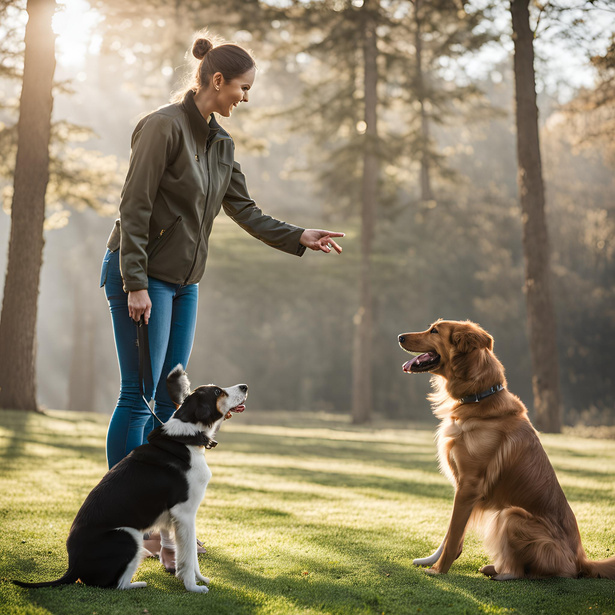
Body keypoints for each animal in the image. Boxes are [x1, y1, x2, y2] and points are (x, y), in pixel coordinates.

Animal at [13, 368, 248, 596]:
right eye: (217, 392)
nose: (245, 386)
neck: (187, 438)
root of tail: (73, 567)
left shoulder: (181, 519)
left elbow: (188, 556)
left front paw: (198, 578)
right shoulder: (185, 513)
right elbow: (189, 556)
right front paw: (193, 587)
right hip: (129, 536)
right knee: (117, 585)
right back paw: (139, 584)